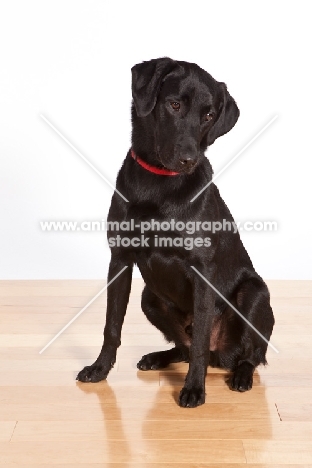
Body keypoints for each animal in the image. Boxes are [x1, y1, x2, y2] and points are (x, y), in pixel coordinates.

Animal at [77, 57, 274, 406]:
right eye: (174, 104)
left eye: (208, 115)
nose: (188, 160)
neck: (159, 184)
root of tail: (223, 356)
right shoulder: (120, 259)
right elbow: (112, 325)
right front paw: (100, 369)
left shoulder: (202, 271)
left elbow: (199, 345)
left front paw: (194, 388)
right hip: (149, 298)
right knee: (184, 346)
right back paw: (158, 357)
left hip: (254, 293)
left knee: (247, 354)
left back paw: (241, 375)